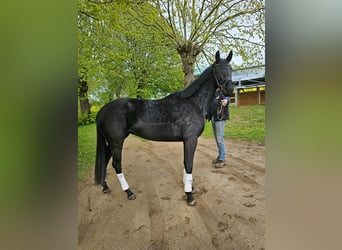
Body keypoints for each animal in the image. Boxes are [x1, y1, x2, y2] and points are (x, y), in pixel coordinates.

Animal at [95, 50, 234, 205]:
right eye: (217, 71)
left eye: (231, 70)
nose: (230, 90)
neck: (193, 103)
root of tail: (102, 111)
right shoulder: (191, 139)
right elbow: (189, 164)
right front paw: (189, 196)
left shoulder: (187, 140)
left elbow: (185, 164)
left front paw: (190, 188)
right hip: (116, 142)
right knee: (116, 164)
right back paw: (129, 192)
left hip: (111, 142)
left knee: (105, 160)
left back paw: (105, 187)